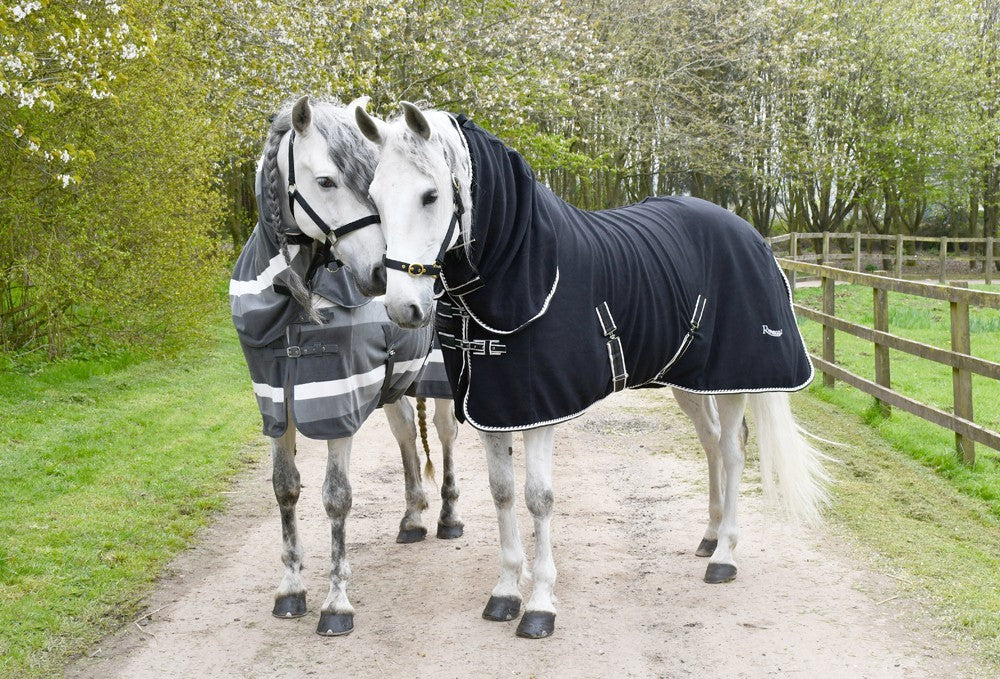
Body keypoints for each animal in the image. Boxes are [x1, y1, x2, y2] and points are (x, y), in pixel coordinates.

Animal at [229, 96, 463, 637]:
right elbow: (285, 489)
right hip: (394, 386)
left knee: (443, 439)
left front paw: (336, 602)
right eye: (326, 181)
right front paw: (290, 588)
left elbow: (336, 497)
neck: (296, 304)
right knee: (406, 436)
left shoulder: (336, 400)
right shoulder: (277, 403)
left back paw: (446, 517)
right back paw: (413, 518)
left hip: (439, 382)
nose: (380, 274)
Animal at [352, 101, 833, 639]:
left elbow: (538, 497)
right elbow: (502, 493)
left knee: (732, 451)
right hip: (691, 378)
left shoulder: (537, 410)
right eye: (375, 196)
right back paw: (709, 537)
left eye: (431, 195)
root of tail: (750, 233)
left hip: (733, 379)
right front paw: (505, 593)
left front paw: (540, 606)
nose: (403, 307)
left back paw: (724, 556)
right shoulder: (494, 408)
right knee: (710, 442)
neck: (518, 270)